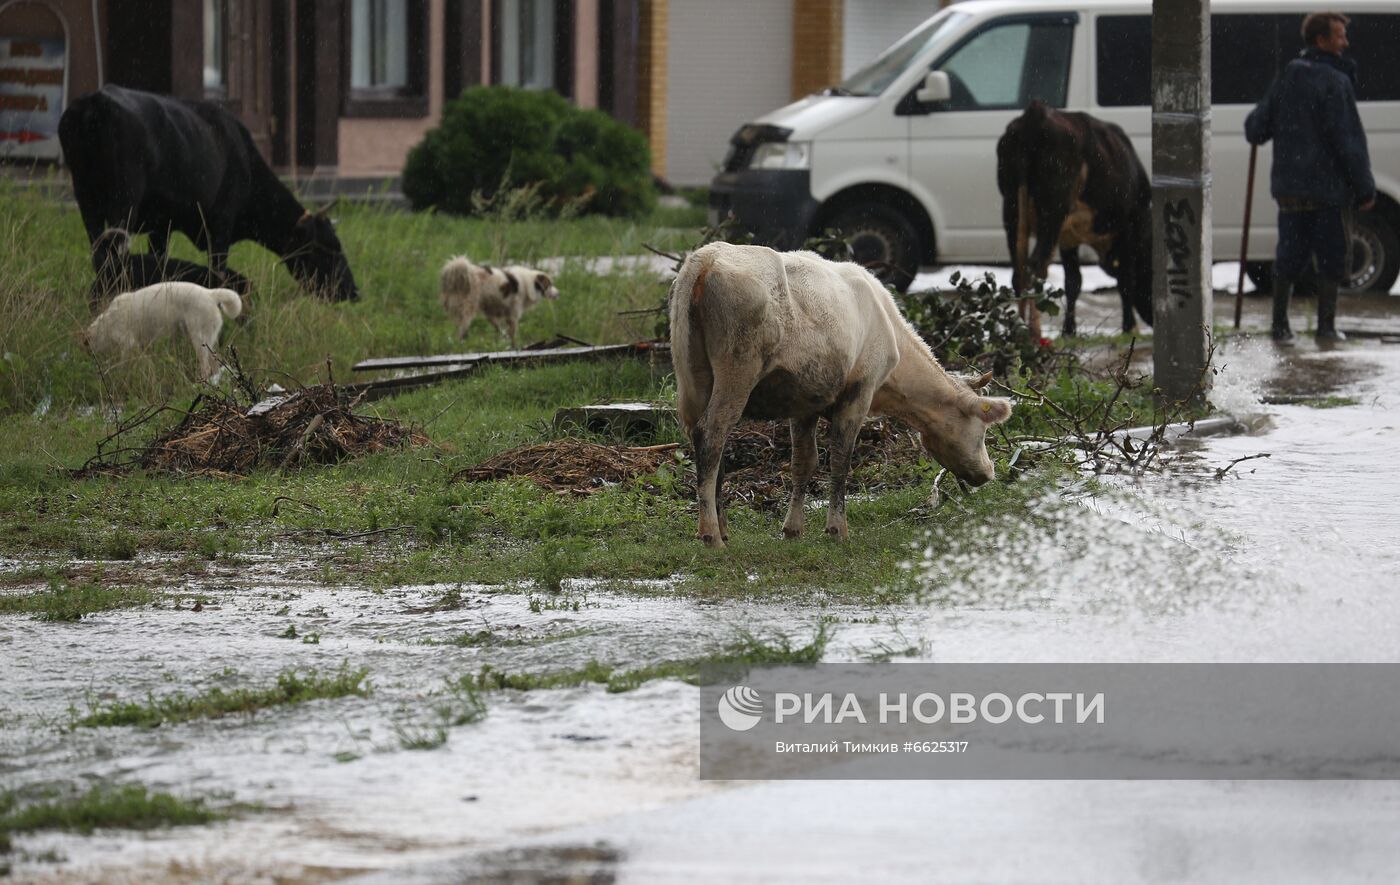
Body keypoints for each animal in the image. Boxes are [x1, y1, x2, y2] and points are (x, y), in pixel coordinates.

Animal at [60, 84, 358, 302]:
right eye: (329, 247)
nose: (354, 292)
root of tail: (95, 100)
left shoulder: (161, 225)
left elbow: (159, 260)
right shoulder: (220, 226)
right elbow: (219, 269)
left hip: (87, 202)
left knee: (100, 254)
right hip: (123, 203)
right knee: (112, 255)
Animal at [81, 281, 242, 380]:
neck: (105, 325)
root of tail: (210, 294)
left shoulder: (129, 345)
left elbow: (123, 365)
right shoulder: (141, 346)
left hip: (198, 340)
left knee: (206, 367)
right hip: (208, 342)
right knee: (215, 365)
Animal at [672, 242, 1013, 546]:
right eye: (983, 430)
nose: (989, 472)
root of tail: (706, 258)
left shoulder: (805, 401)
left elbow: (803, 462)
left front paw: (793, 529)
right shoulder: (859, 391)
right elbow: (840, 459)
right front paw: (838, 529)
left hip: (694, 378)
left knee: (705, 440)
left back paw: (722, 527)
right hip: (738, 370)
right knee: (712, 434)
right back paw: (711, 534)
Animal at [1002, 100, 1153, 338]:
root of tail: (1036, 113)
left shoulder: (1068, 237)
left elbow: (1073, 281)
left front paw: (1068, 331)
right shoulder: (1126, 224)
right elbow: (1126, 277)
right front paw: (1129, 327)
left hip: (1012, 211)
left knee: (1019, 270)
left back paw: (1019, 330)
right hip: (1052, 213)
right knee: (1035, 266)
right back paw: (1035, 333)